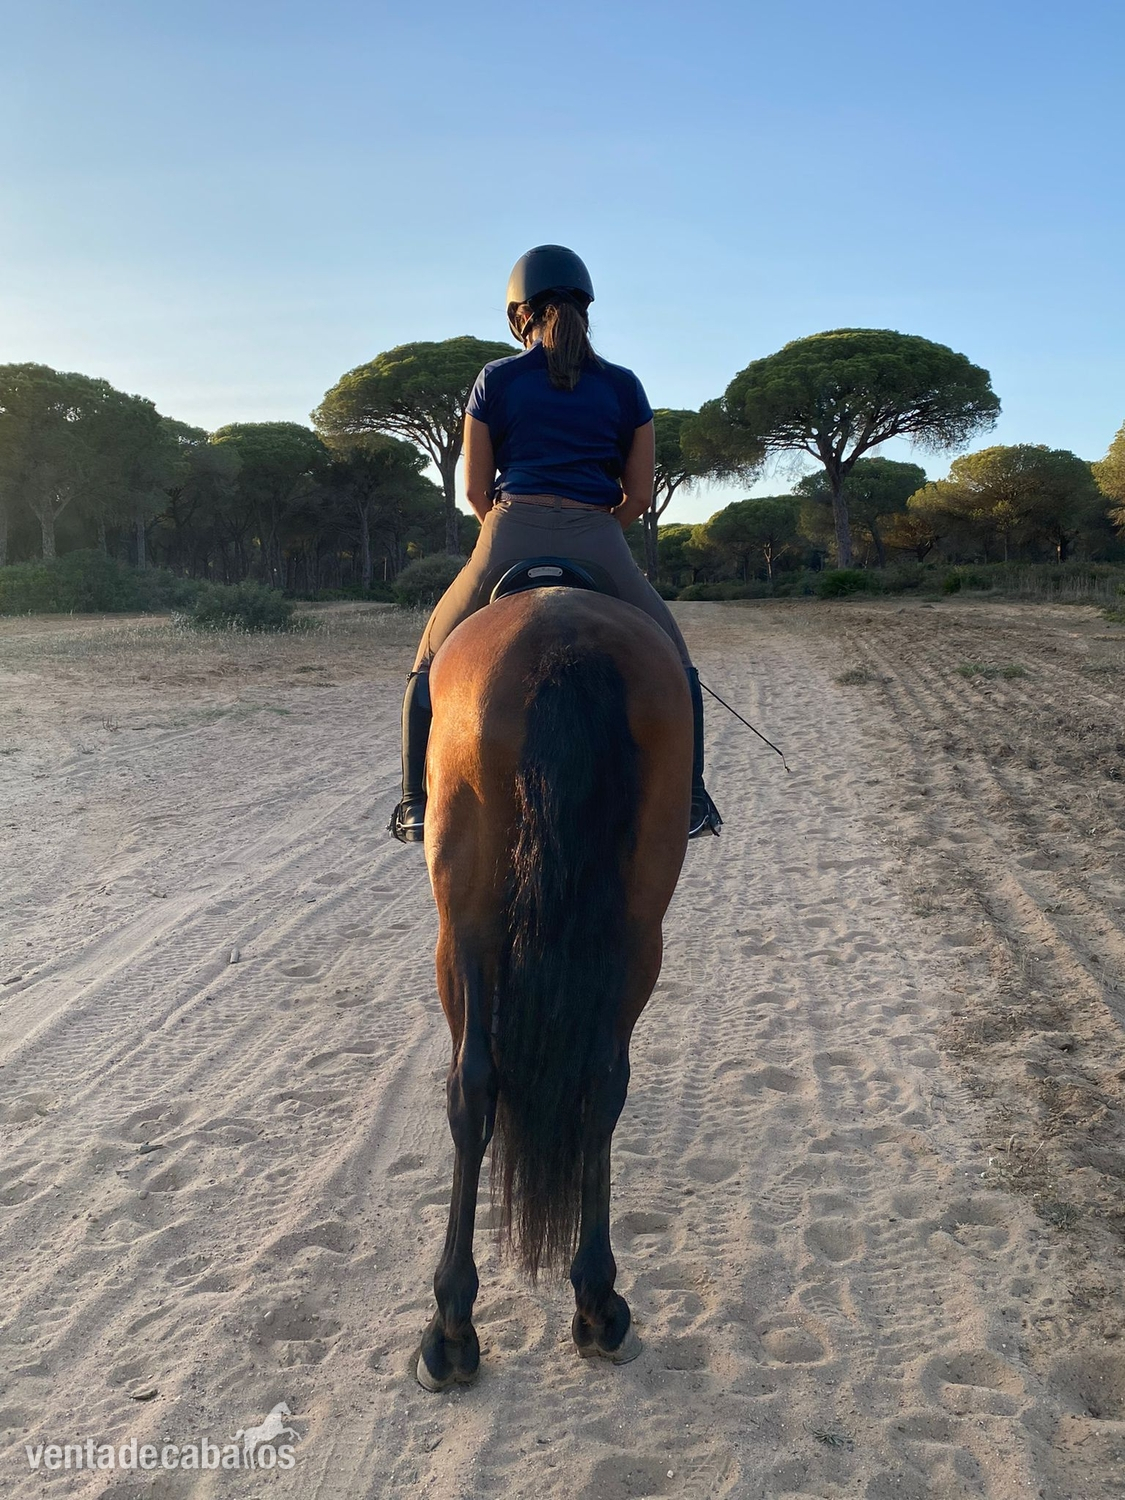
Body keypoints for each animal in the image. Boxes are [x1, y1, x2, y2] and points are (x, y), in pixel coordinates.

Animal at [414, 584, 692, 1391]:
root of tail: (564, 637)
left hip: (460, 921)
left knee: (471, 1086)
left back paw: (451, 1325)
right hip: (637, 927)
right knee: (600, 1083)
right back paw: (596, 1301)